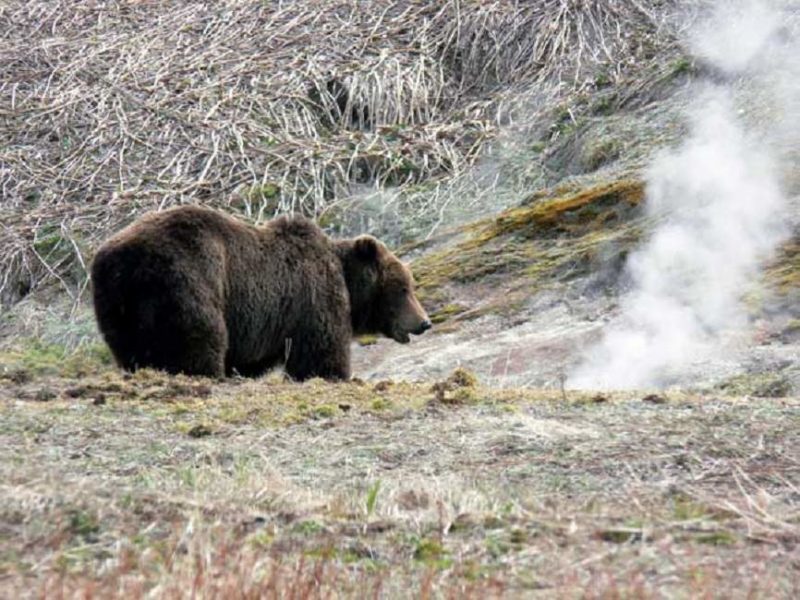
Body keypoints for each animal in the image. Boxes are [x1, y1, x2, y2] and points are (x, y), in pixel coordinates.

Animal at [90, 206, 432, 380]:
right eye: (404, 288)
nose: (424, 322)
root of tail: (123, 258)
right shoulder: (314, 300)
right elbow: (320, 354)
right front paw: (336, 374)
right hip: (187, 278)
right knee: (201, 336)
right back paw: (205, 374)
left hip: (117, 305)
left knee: (131, 348)